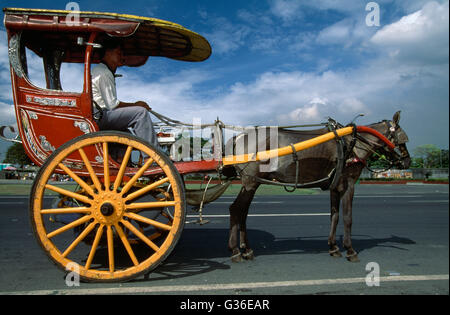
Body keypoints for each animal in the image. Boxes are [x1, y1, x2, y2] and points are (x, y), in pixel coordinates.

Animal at [225, 111, 412, 264]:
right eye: (402, 140)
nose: (407, 161)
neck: (352, 143)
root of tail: (239, 137)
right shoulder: (349, 184)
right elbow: (348, 218)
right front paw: (350, 250)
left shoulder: (335, 186)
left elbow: (334, 216)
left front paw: (333, 247)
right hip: (251, 182)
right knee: (236, 209)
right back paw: (235, 251)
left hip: (251, 183)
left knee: (242, 212)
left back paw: (246, 250)